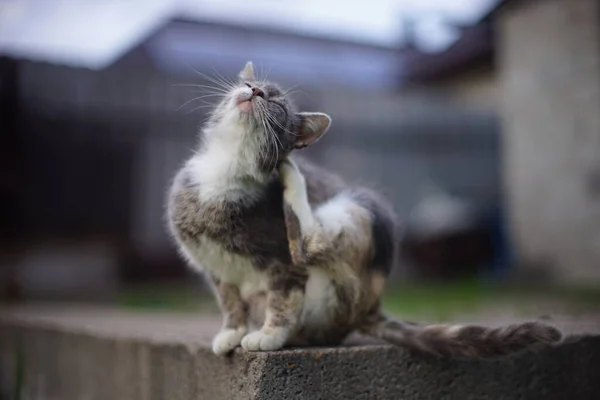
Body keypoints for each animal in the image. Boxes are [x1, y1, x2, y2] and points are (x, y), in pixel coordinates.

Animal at [165, 61, 564, 356]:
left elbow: (283, 299)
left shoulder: (282, 263)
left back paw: (292, 175)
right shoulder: (216, 270)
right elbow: (230, 303)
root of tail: (372, 309)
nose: (255, 90)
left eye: (277, 104)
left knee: (312, 241)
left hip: (366, 209)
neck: (226, 172)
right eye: (252, 84)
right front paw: (231, 333)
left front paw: (268, 336)